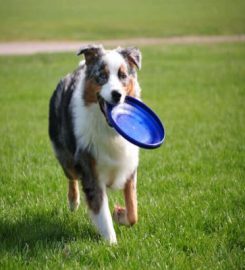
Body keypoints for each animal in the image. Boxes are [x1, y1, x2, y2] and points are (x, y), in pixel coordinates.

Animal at [48, 43, 142, 244]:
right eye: (102, 76)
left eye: (123, 75)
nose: (117, 95)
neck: (109, 129)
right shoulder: (90, 169)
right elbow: (102, 212)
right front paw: (112, 244)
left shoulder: (129, 165)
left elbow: (133, 213)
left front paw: (120, 214)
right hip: (67, 159)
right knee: (71, 177)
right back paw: (73, 202)